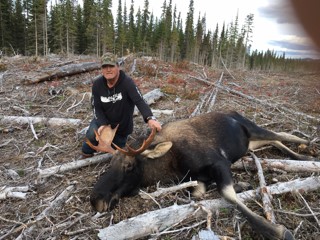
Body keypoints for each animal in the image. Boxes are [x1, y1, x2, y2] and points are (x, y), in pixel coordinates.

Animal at [89, 111, 316, 240]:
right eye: (110, 163)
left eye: (128, 166)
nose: (95, 199)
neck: (173, 164)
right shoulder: (196, 177)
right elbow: (199, 194)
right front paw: (242, 184)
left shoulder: (219, 162)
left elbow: (227, 194)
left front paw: (277, 231)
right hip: (248, 144)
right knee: (275, 141)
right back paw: (302, 154)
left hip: (252, 129)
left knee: (282, 135)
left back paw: (308, 146)